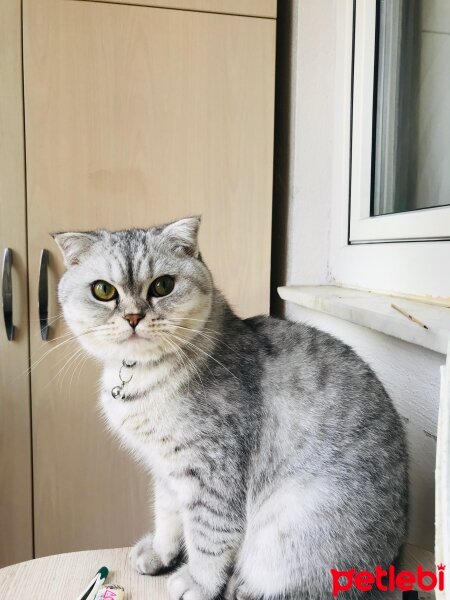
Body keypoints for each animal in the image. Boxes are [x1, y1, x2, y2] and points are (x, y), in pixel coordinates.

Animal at [53, 217, 408, 600]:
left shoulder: (211, 471)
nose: (134, 317)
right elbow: (167, 517)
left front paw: (198, 582)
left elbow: (208, 536)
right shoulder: (166, 473)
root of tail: (390, 566)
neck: (142, 377)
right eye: (103, 291)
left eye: (163, 286)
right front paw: (161, 554)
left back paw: (243, 586)